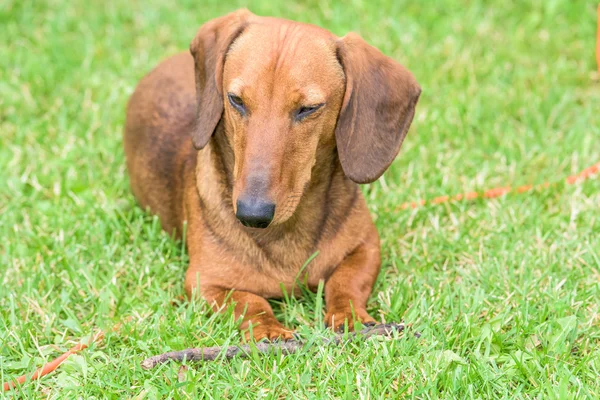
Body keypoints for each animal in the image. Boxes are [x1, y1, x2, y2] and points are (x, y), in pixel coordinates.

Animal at [124, 8, 420, 340]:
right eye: (236, 100)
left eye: (308, 108)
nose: (252, 214)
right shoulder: (205, 282)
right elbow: (250, 303)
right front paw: (269, 332)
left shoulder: (366, 247)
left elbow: (346, 283)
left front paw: (350, 318)